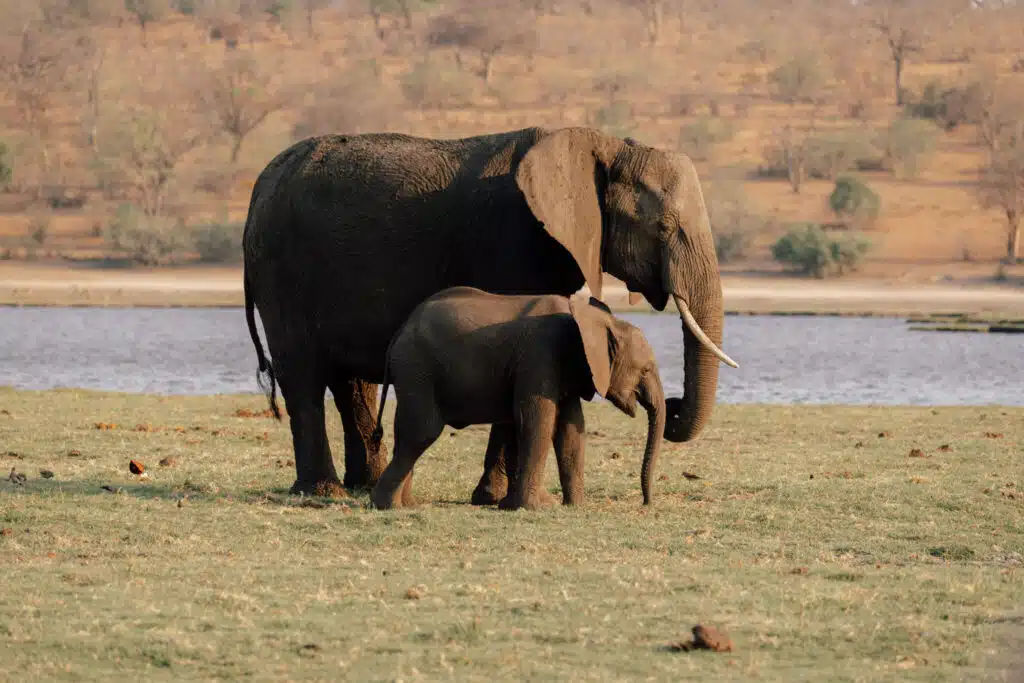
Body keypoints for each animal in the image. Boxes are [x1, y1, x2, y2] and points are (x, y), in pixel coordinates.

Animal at [367, 286, 666, 511]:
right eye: (645, 370)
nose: (646, 503)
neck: (591, 319)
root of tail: (400, 330)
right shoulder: (540, 355)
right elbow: (538, 421)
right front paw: (536, 507)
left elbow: (570, 430)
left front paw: (573, 507)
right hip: (417, 368)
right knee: (423, 431)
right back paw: (387, 506)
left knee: (409, 432)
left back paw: (406, 504)